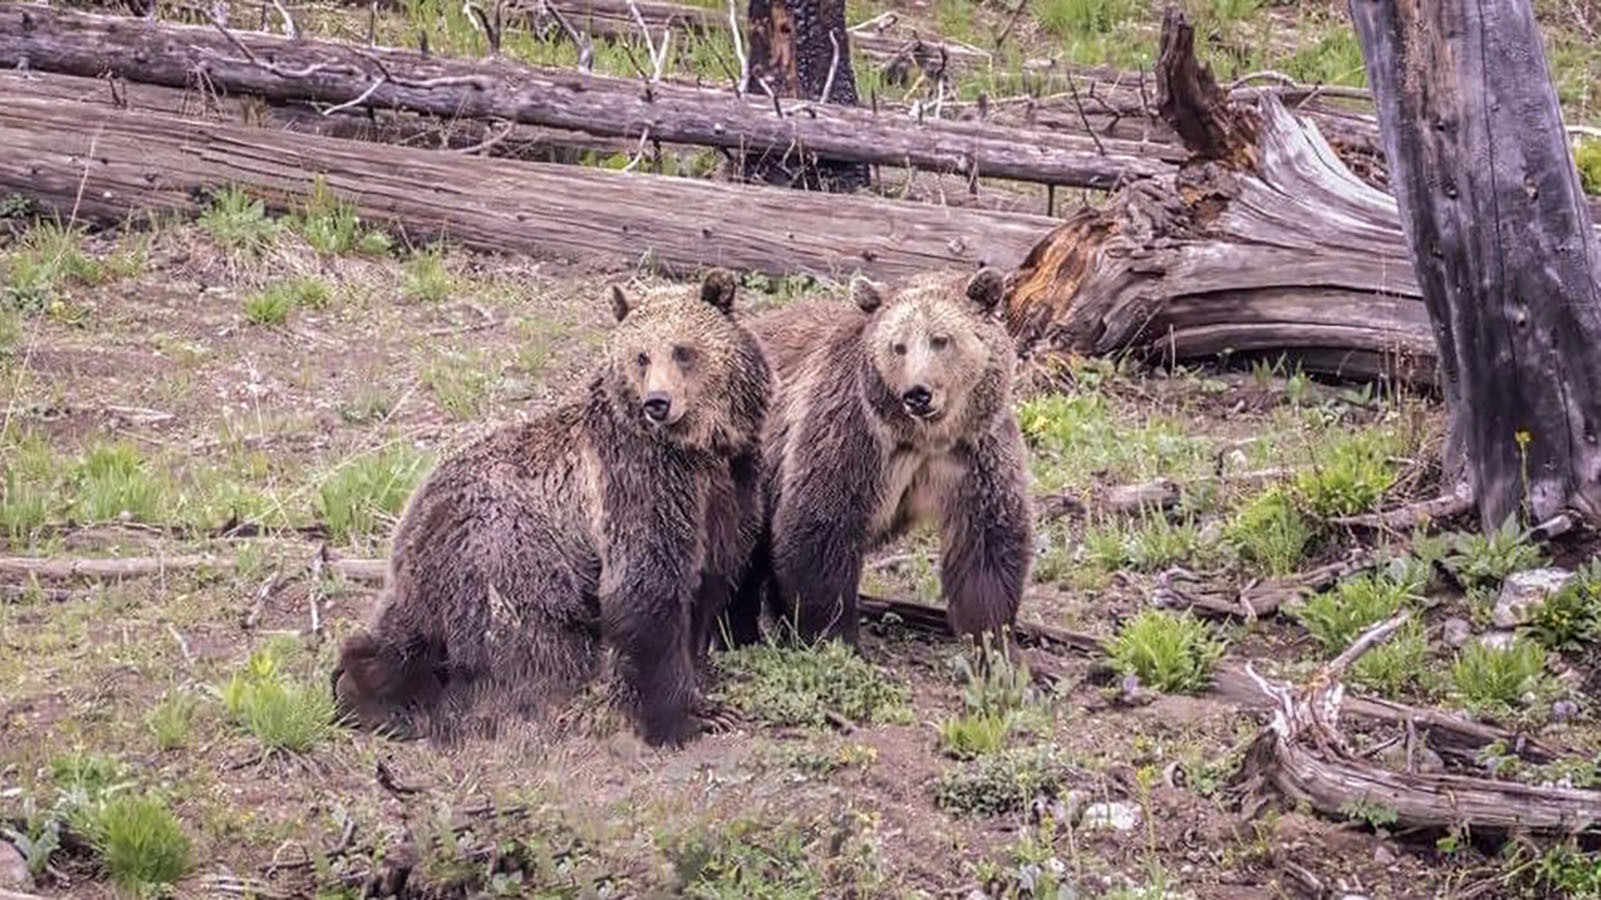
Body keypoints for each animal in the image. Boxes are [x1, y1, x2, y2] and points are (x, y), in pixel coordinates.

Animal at [329, 269, 768, 746]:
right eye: (641, 356)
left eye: (683, 350)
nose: (657, 402)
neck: (698, 449)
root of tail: (415, 514)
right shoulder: (639, 483)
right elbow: (646, 590)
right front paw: (683, 717)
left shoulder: (729, 489)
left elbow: (707, 579)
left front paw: (703, 683)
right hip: (511, 559)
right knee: (531, 651)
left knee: (404, 640)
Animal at [723, 264, 1031, 643]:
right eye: (898, 346)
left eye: (941, 339)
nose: (918, 393)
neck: (925, 438)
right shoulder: (853, 436)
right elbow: (821, 525)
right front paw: (832, 636)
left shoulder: (973, 453)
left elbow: (986, 544)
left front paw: (993, 640)